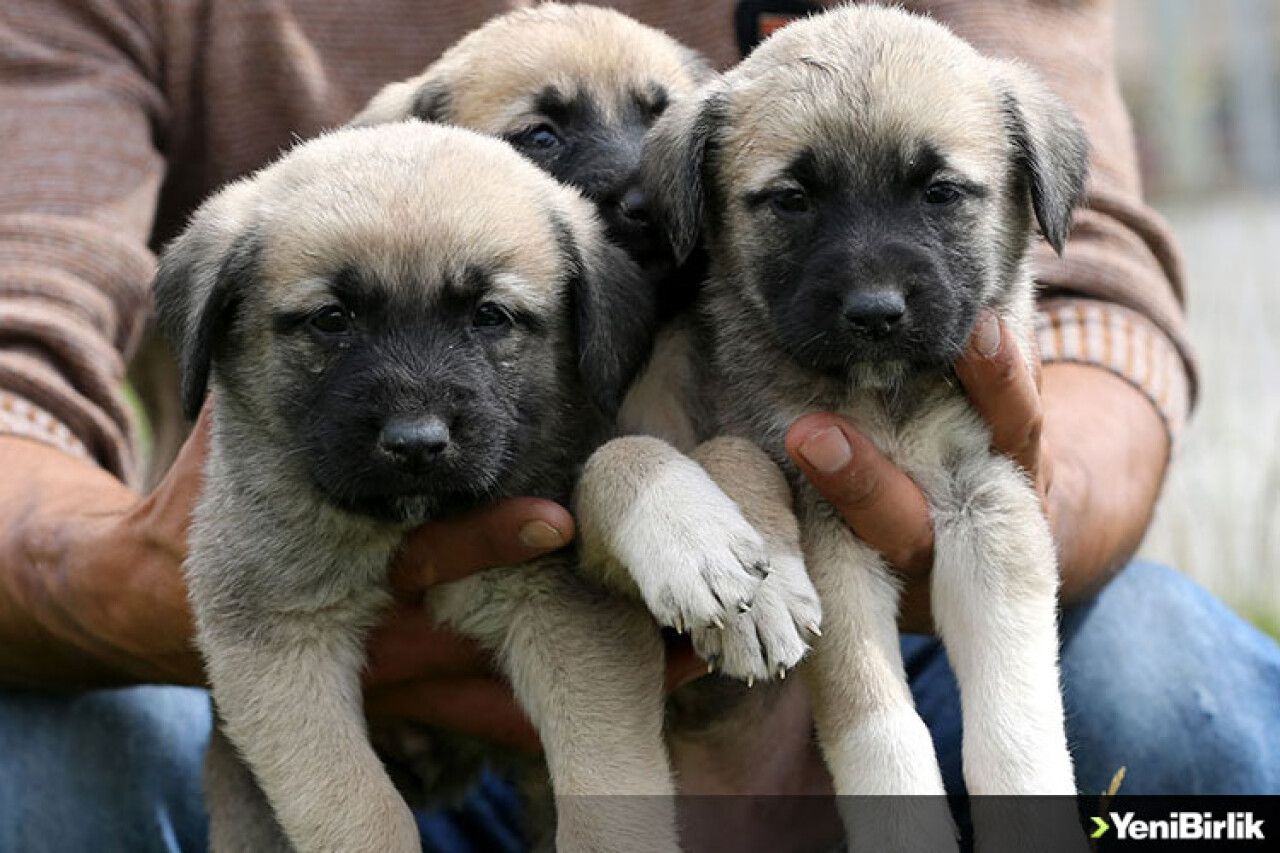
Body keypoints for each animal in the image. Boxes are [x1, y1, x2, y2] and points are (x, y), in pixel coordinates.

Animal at [581, 6, 1090, 850]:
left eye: (940, 192)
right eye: (792, 199)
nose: (876, 313)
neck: (885, 401)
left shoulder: (989, 497)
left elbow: (1014, 715)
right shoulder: (826, 525)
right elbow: (877, 722)